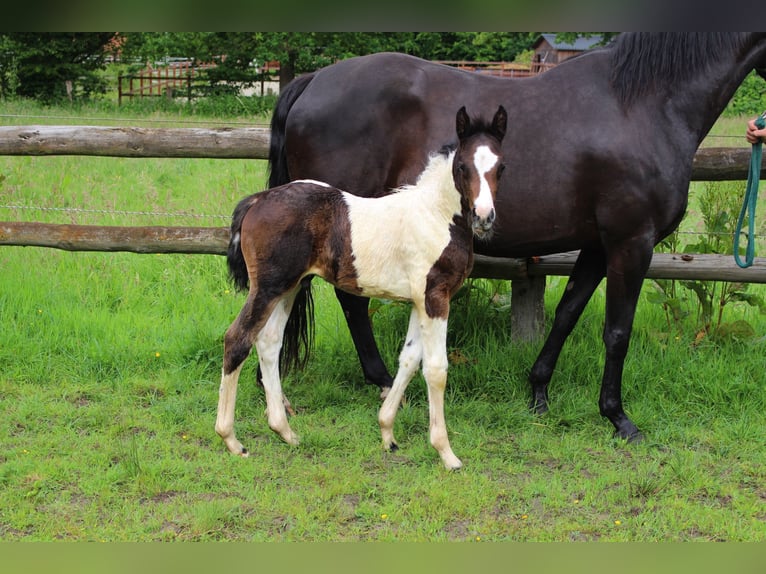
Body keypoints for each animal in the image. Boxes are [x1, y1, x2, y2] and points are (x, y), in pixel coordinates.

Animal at [217, 105, 507, 469]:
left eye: (501, 166)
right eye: (463, 167)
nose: (484, 216)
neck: (436, 215)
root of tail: (258, 200)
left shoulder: (418, 300)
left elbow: (409, 360)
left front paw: (387, 434)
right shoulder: (435, 297)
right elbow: (436, 369)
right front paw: (446, 453)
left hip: (289, 287)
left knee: (269, 342)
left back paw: (285, 432)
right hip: (268, 287)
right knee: (237, 339)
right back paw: (231, 439)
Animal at [267, 33, 766, 443]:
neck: (645, 104)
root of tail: (312, 81)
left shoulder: (597, 245)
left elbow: (566, 314)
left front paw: (539, 392)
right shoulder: (631, 242)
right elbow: (617, 331)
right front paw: (618, 418)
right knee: (349, 302)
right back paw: (384, 383)